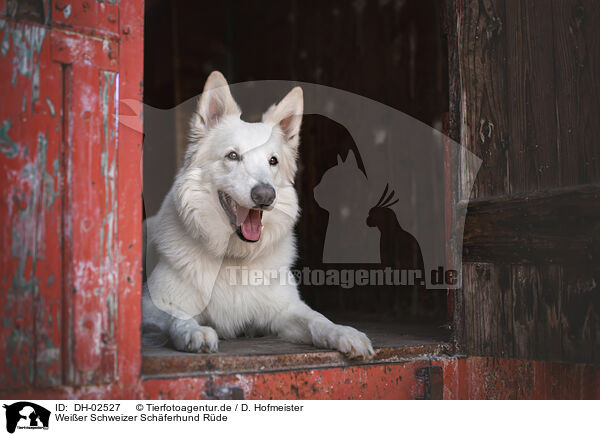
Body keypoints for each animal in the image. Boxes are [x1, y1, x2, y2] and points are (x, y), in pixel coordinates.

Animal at [142, 72, 372, 358]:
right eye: (232, 155)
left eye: (273, 161)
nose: (265, 196)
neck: (234, 259)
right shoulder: (150, 308)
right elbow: (179, 317)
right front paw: (195, 332)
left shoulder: (286, 310)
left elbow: (317, 319)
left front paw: (344, 332)